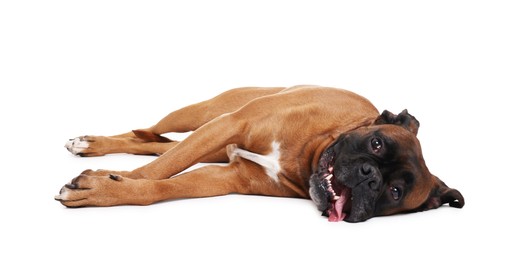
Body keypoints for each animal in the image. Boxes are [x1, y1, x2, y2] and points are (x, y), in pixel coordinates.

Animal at [54, 86, 466, 222]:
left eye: (394, 192)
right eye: (377, 144)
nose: (370, 176)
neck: (309, 152)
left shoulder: (224, 176)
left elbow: (165, 183)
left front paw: (112, 187)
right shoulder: (229, 124)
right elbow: (164, 168)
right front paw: (106, 182)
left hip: (213, 146)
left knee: (156, 143)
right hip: (201, 116)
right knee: (151, 134)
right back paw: (92, 144)